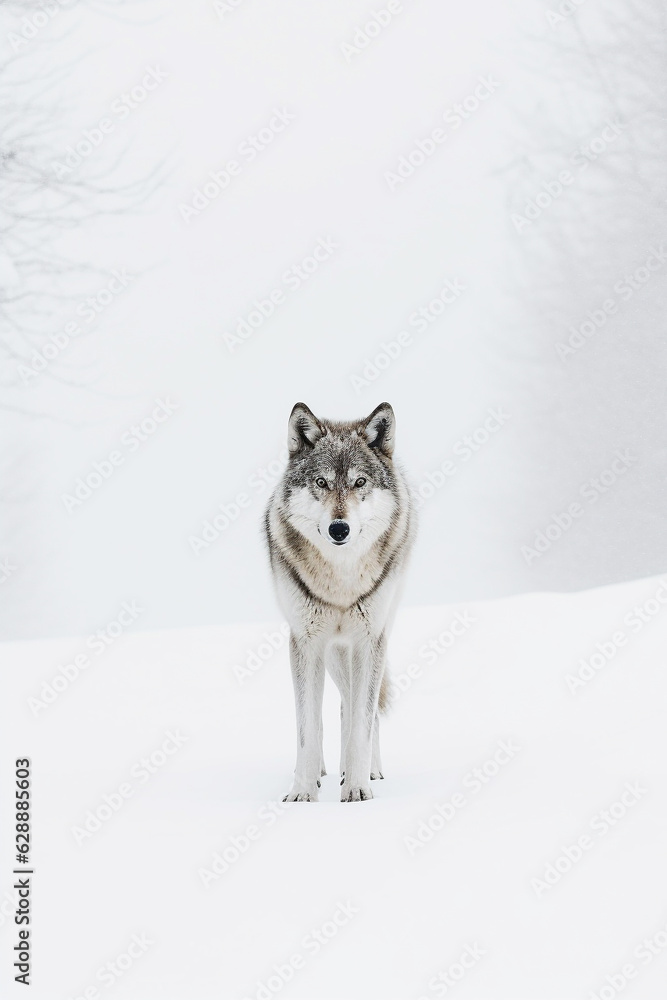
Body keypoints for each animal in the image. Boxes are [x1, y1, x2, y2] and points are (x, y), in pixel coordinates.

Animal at [264, 402, 415, 802]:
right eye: (322, 483)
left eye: (360, 482)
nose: (339, 529)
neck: (340, 580)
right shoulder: (305, 641)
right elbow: (306, 726)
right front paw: (301, 793)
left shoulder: (368, 640)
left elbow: (362, 720)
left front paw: (359, 788)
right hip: (330, 651)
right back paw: (320, 772)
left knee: (355, 706)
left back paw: (364, 770)